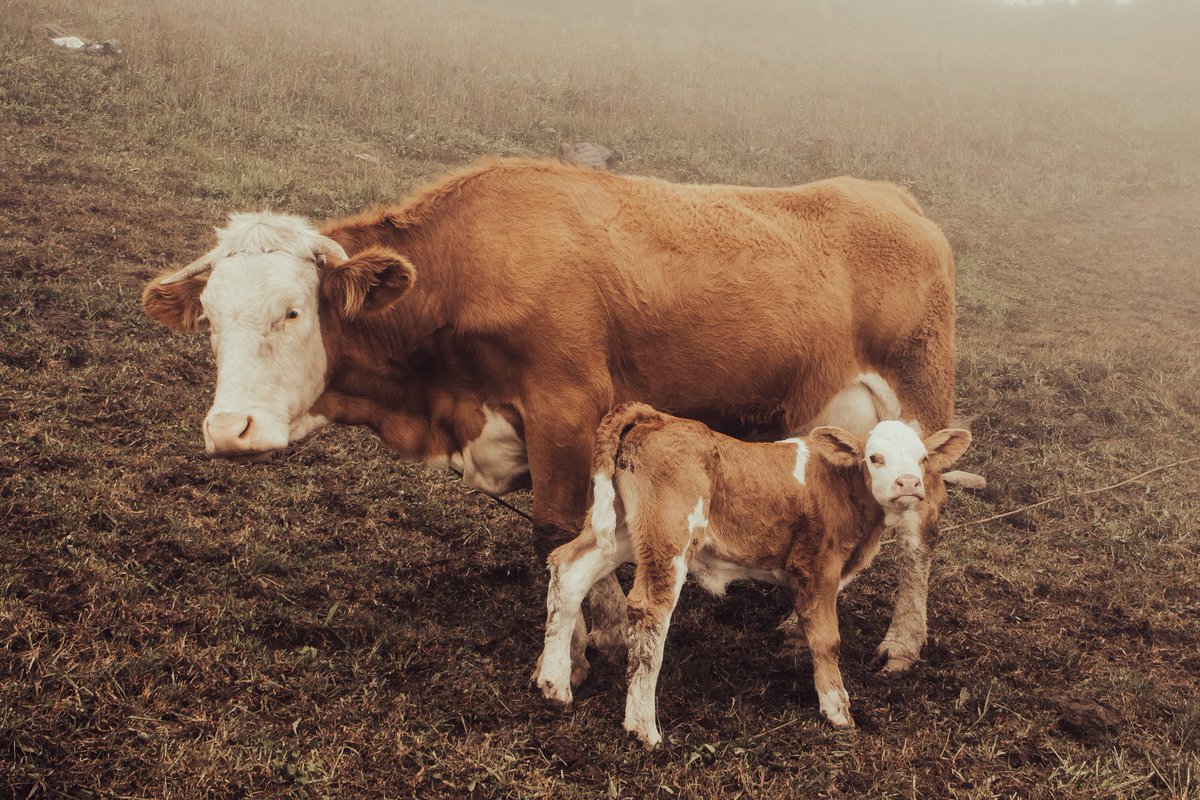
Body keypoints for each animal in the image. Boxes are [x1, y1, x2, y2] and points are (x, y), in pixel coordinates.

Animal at [142, 158, 960, 676]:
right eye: (209, 317)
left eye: (292, 311)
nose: (230, 430)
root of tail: (891, 197)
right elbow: (583, 534)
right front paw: (598, 629)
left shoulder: (565, 404)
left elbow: (558, 530)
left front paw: (591, 644)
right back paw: (800, 618)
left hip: (919, 401)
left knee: (920, 524)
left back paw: (902, 644)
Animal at [536, 401, 972, 746]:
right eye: (874, 457)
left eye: (921, 459)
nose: (908, 483)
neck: (840, 486)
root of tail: (653, 416)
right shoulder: (817, 566)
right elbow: (828, 639)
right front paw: (837, 708)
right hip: (670, 536)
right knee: (649, 610)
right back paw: (643, 727)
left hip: (624, 529)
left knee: (568, 570)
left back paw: (555, 685)